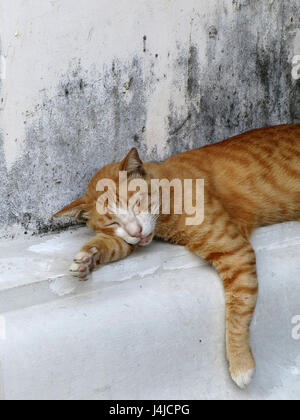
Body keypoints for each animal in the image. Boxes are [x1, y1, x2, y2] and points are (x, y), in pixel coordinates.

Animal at [53, 124, 300, 390]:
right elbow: (114, 244)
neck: (168, 188)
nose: (136, 231)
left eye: (136, 203)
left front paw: (240, 363)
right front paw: (87, 258)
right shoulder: (136, 238)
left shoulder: (234, 250)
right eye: (112, 222)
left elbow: (238, 311)